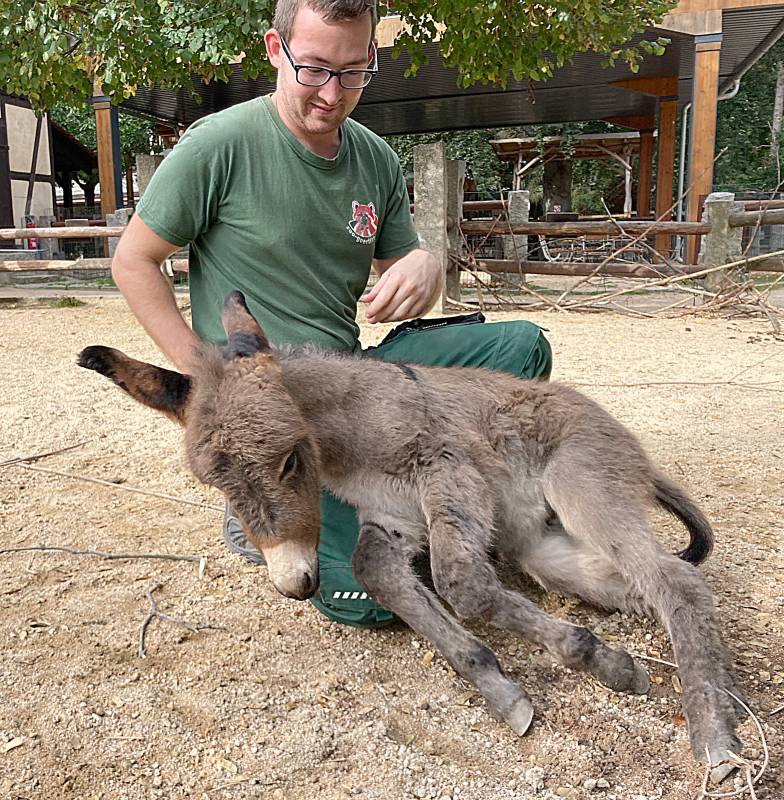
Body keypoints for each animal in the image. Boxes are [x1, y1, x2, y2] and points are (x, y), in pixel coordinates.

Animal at [78, 290, 740, 780]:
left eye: (289, 461)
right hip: (539, 545)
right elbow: (379, 574)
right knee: (642, 586)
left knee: (678, 581)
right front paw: (505, 687)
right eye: (216, 485)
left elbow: (462, 585)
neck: (349, 433)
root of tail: (630, 444)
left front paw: (589, 660)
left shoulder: (445, 468)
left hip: (583, 488)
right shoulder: (391, 521)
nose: (293, 582)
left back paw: (715, 738)